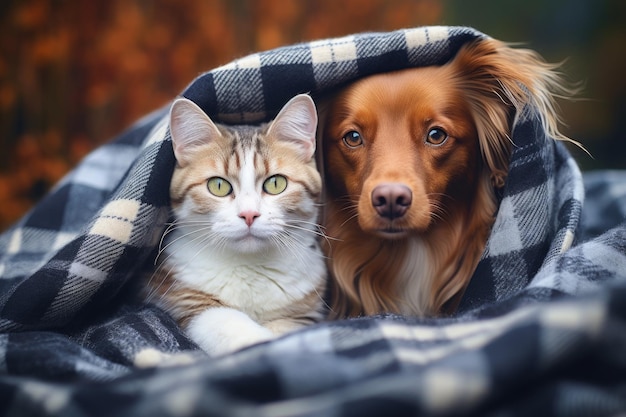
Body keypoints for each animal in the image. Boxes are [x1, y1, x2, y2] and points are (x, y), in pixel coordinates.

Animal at [143, 93, 324, 354]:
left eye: (276, 183)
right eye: (218, 185)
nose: (249, 214)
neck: (250, 268)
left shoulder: (301, 311)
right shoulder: (183, 297)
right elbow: (224, 321)